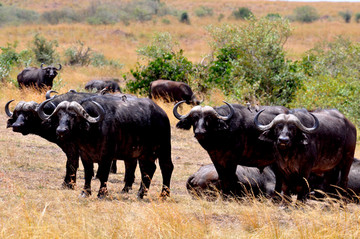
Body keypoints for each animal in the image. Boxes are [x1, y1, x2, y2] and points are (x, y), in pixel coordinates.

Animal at [38, 94, 174, 199]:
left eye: (74, 116)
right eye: (59, 115)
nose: (61, 131)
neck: (92, 132)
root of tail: (162, 114)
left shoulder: (107, 157)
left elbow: (103, 174)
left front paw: (102, 194)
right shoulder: (84, 155)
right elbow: (88, 173)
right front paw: (85, 192)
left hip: (164, 148)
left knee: (166, 167)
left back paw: (164, 194)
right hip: (144, 154)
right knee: (148, 169)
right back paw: (140, 194)